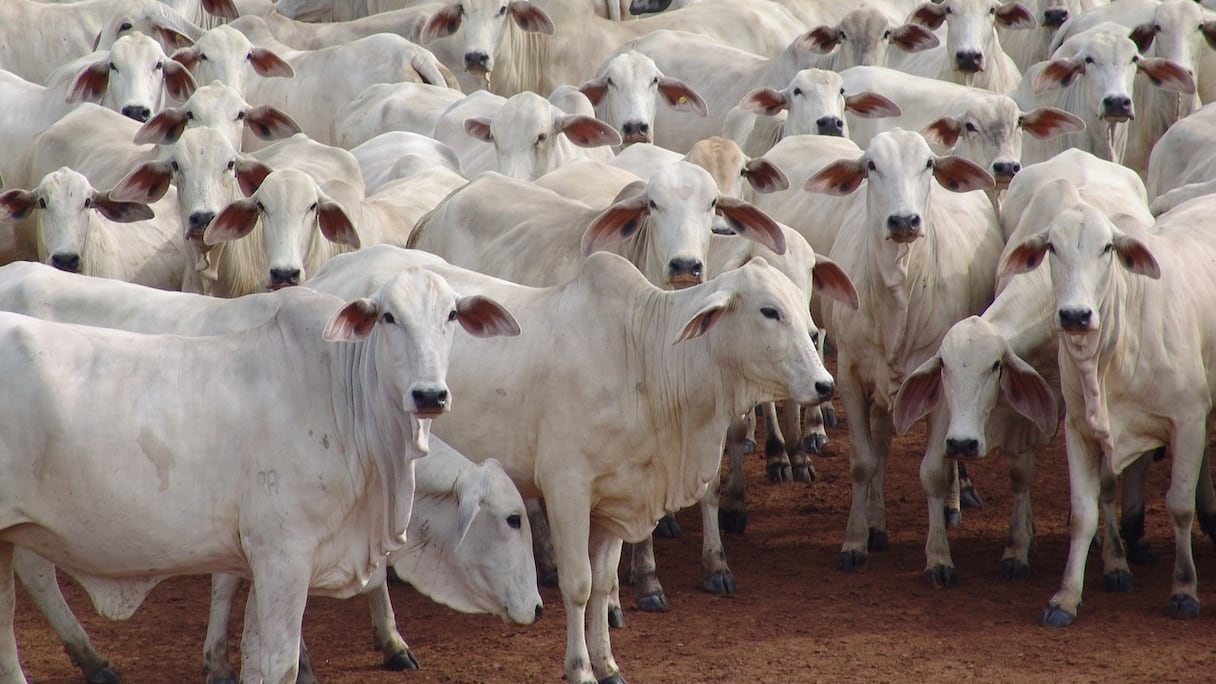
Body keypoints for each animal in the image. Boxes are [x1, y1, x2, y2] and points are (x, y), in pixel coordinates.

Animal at [0, 266, 520, 683]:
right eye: (388, 317)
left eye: (451, 315)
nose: (429, 395)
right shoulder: (282, 555)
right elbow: (278, 662)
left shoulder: (262, 557)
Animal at [305, 244, 835, 684]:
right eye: (769, 310)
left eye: (800, 302)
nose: (825, 384)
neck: (643, 359)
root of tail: (329, 272)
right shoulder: (567, 490)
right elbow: (578, 585)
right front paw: (580, 669)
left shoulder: (616, 499)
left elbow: (604, 584)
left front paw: (609, 665)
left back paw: (392, 643)